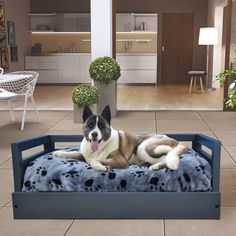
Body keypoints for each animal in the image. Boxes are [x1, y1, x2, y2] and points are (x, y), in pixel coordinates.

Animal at [53, 105, 186, 171]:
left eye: (101, 126)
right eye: (90, 125)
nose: (94, 134)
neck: (99, 148)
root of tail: (175, 141)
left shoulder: (120, 161)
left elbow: (95, 161)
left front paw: (102, 167)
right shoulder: (84, 155)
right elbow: (74, 153)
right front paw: (58, 153)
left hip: (143, 148)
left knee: (166, 159)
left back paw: (154, 166)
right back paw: (149, 165)